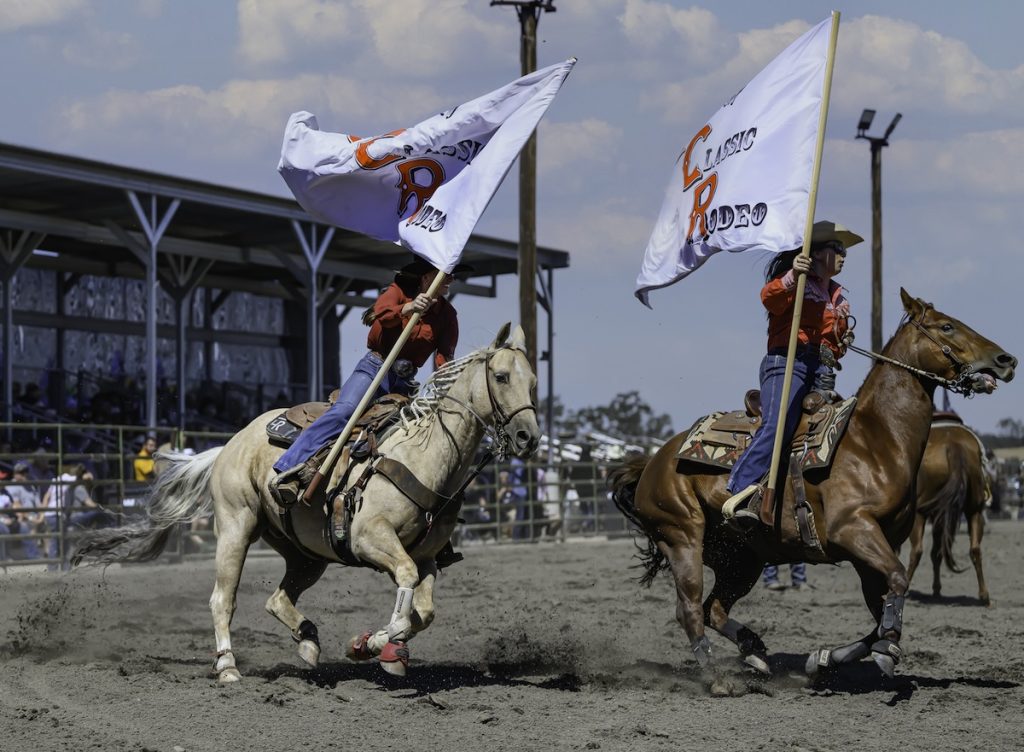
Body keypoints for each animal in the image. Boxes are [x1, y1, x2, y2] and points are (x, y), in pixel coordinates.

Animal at [73, 323, 540, 684]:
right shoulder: (371, 538)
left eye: (533, 381)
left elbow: (423, 612)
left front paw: (371, 646)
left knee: (276, 598)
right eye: (501, 376)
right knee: (223, 598)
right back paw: (228, 667)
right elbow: (406, 584)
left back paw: (309, 642)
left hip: (307, 554)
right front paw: (375, 643)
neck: (423, 454)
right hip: (236, 527)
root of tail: (229, 444)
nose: (528, 438)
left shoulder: (426, 557)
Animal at [913, 424, 991, 606]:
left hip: (920, 514)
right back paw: (984, 595)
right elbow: (937, 553)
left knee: (917, 550)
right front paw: (936, 589)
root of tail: (954, 446)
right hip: (974, 510)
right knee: (975, 548)